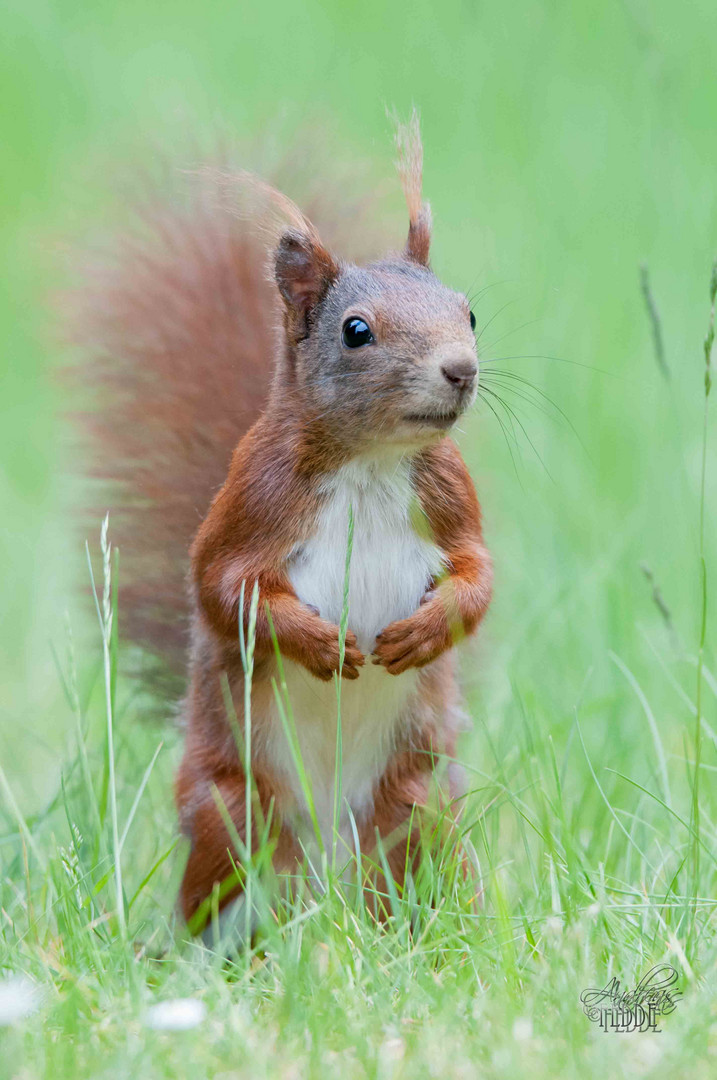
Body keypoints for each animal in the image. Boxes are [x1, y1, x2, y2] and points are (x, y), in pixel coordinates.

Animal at [72, 120, 492, 937]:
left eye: (469, 313)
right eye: (355, 331)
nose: (460, 369)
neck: (370, 460)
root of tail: (327, 880)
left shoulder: (451, 499)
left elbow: (477, 578)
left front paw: (422, 633)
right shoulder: (250, 502)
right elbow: (220, 589)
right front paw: (318, 643)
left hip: (418, 804)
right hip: (233, 810)